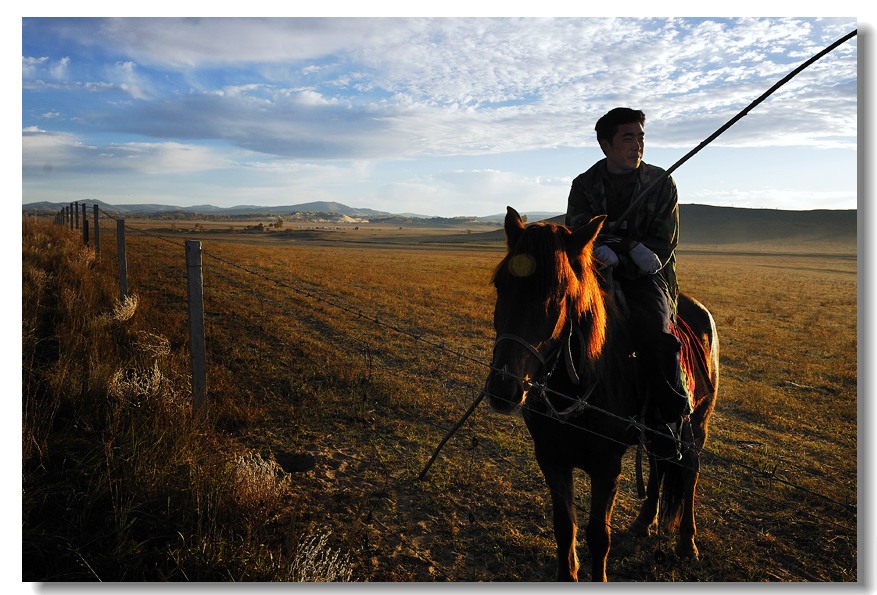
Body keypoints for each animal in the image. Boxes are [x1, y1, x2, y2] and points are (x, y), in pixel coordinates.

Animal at [480, 208, 720, 584]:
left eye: (560, 293)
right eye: (501, 285)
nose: (504, 388)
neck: (574, 387)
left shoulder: (606, 467)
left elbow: (598, 535)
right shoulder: (551, 457)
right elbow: (565, 528)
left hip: (696, 424)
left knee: (689, 470)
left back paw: (687, 543)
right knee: (658, 465)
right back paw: (643, 522)